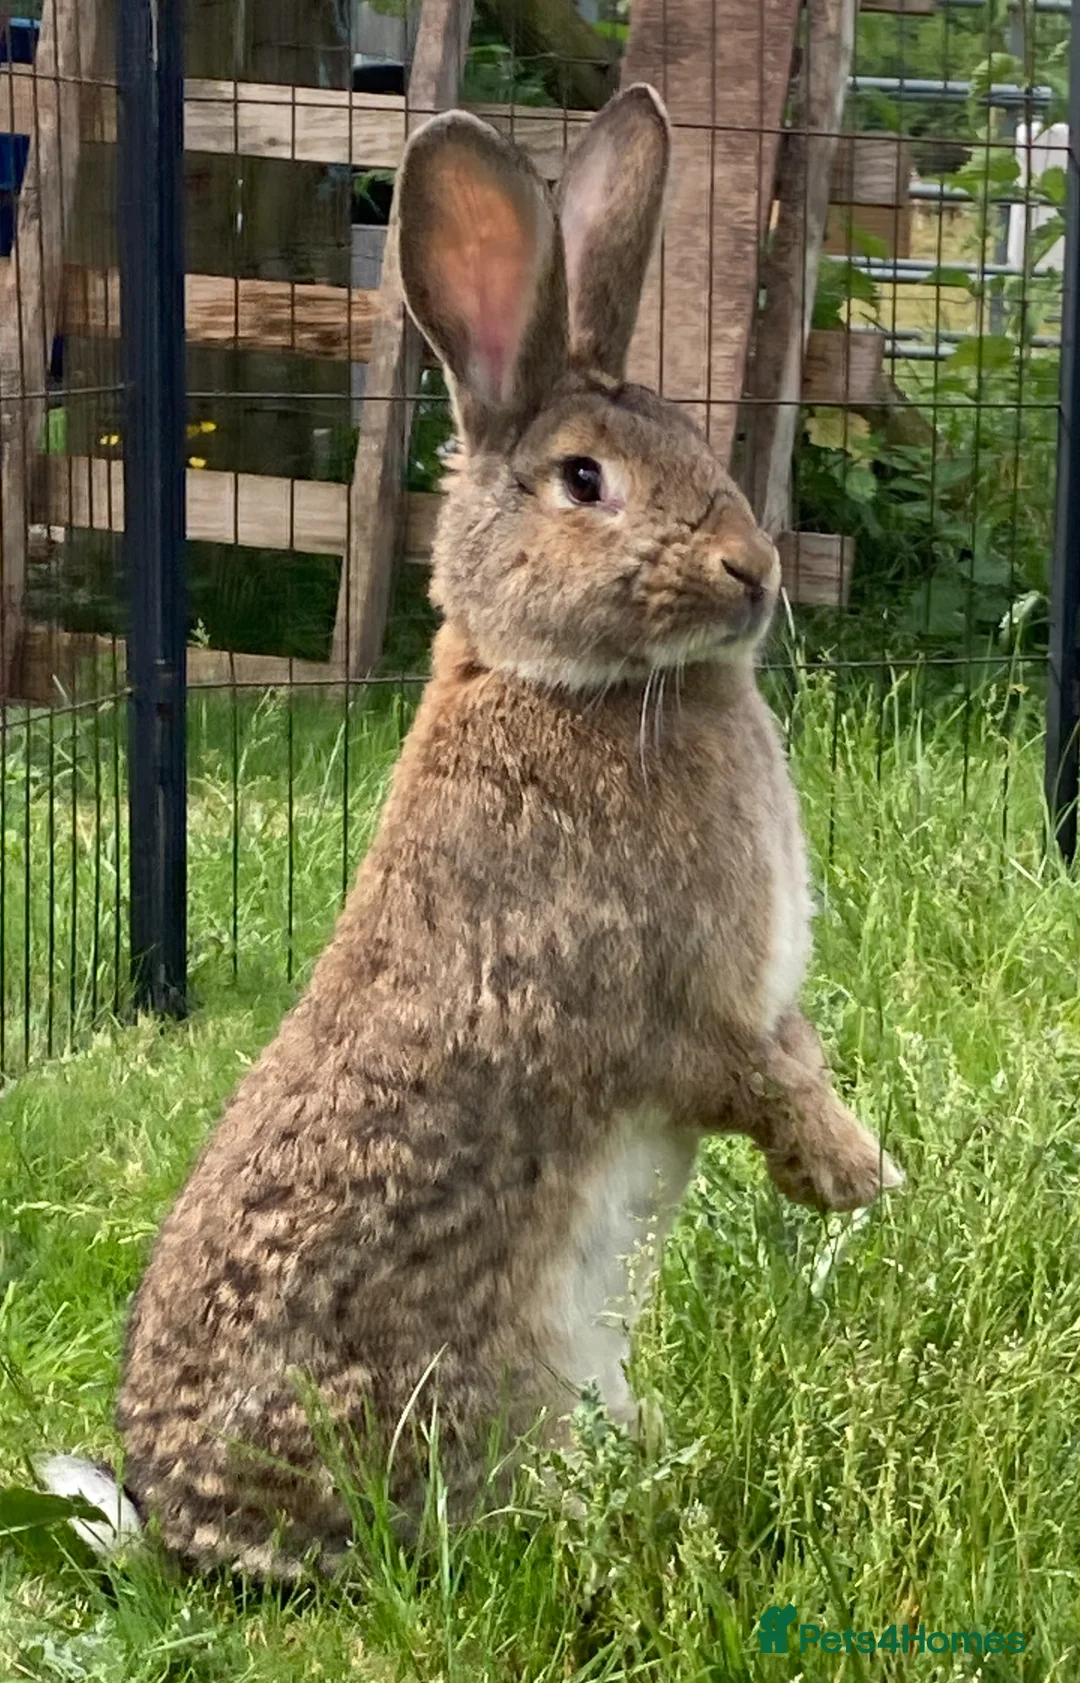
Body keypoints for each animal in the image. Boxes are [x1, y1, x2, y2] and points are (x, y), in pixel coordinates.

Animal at [53, 84, 901, 1581]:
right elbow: (756, 1078)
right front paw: (857, 1177)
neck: (558, 680)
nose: (750, 571)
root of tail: (183, 1530)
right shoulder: (674, 1004)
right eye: (585, 480)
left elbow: (792, 1053)